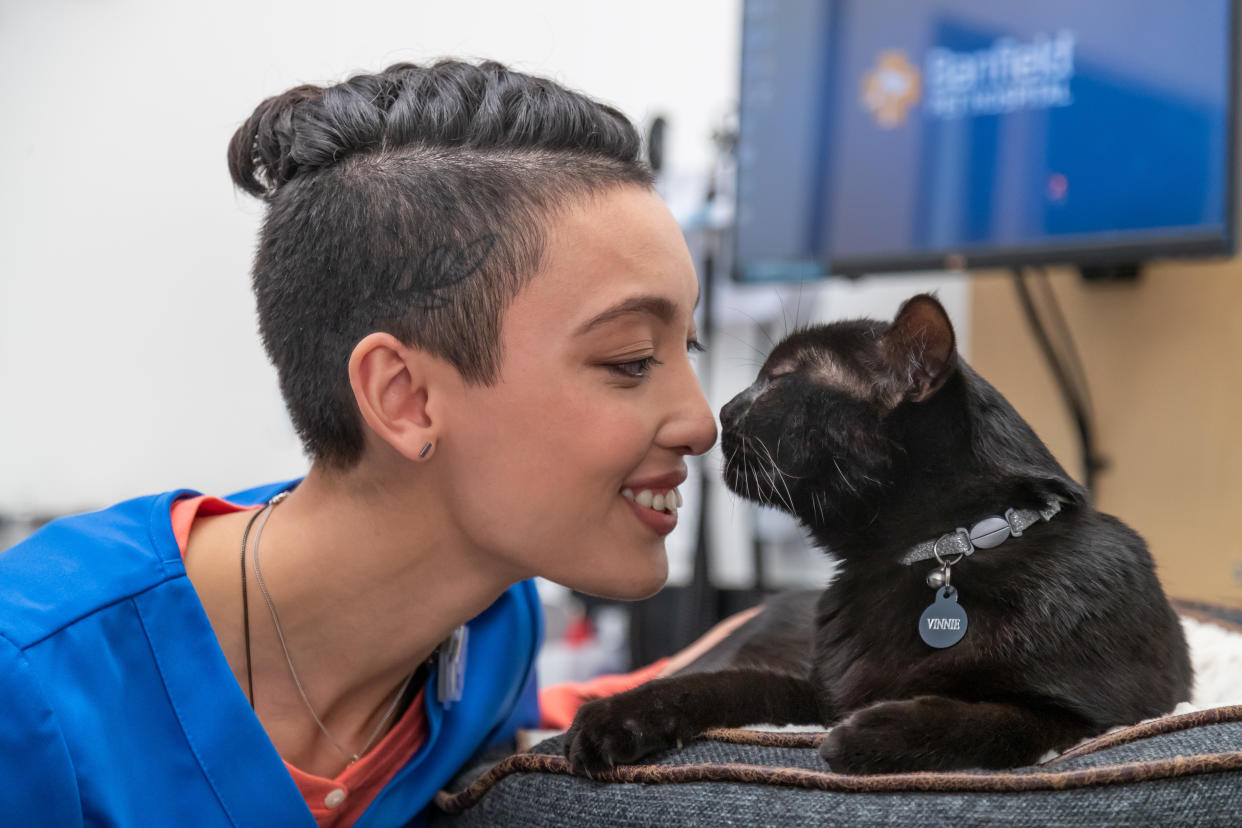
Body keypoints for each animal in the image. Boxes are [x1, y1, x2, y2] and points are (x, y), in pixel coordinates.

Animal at [566, 296, 1192, 779]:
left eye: (780, 381)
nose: (723, 409)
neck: (946, 550)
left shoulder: (1092, 714)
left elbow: (998, 718)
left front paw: (872, 734)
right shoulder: (818, 691)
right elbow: (721, 685)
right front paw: (611, 719)